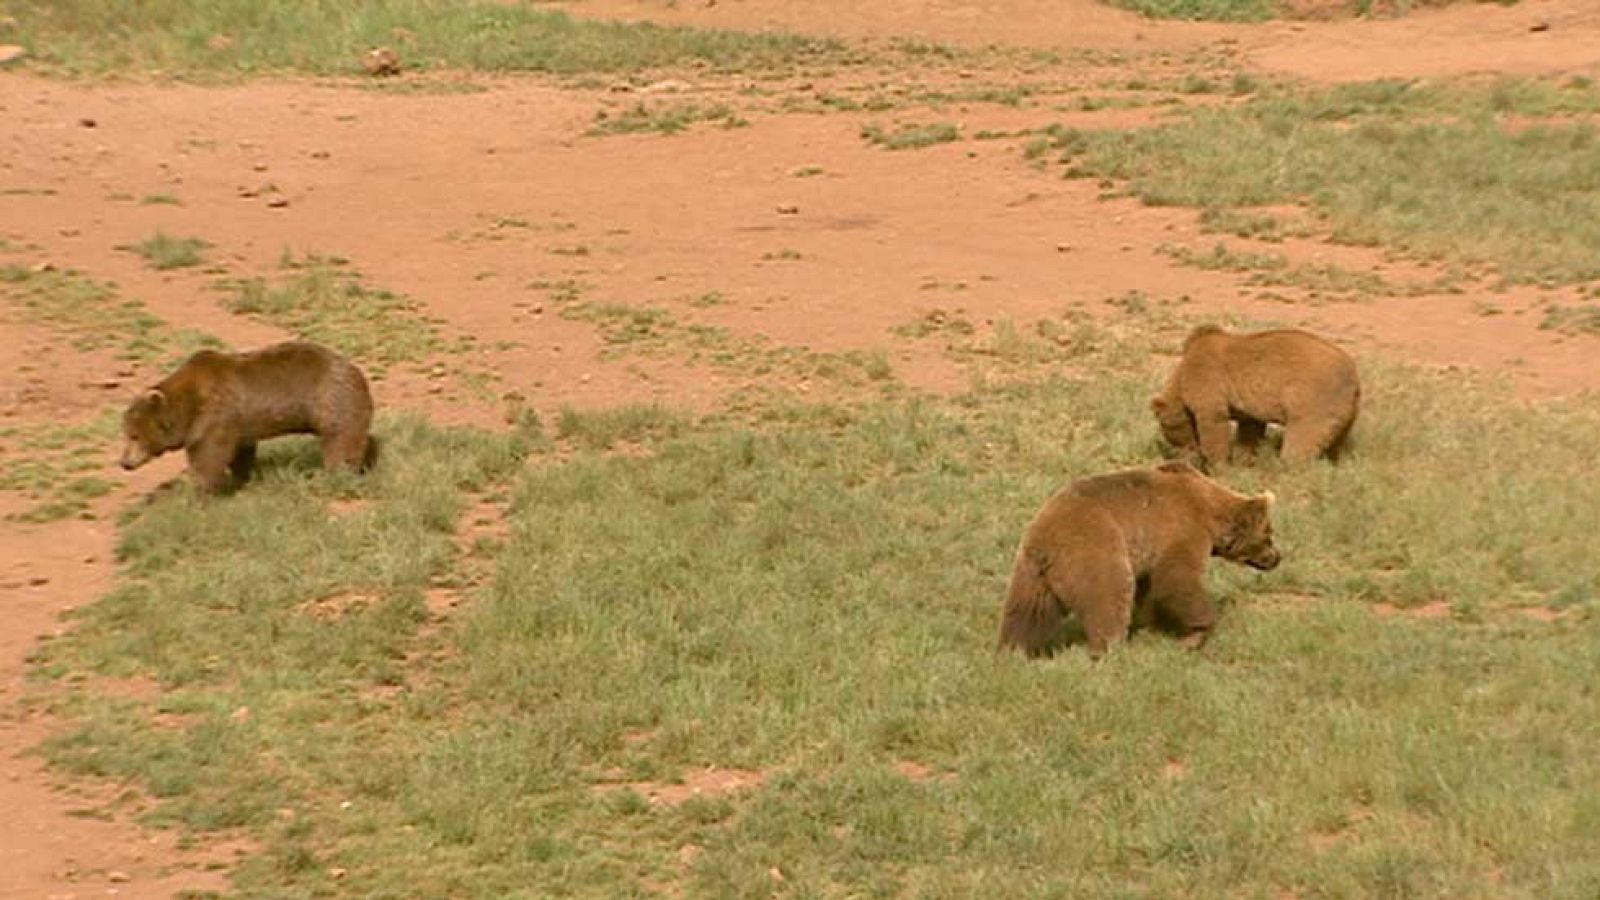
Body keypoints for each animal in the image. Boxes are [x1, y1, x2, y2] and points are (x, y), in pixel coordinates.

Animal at [119, 341, 377, 494]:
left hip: (331, 399)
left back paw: (337, 473)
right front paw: (240, 477)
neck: (189, 407)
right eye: (126, 434)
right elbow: (240, 452)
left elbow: (208, 457)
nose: (124, 463)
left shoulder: (215, 416)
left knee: (340, 441)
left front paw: (201, 490)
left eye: (134, 436)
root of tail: (358, 371)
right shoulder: (237, 423)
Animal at [998, 461, 1280, 659]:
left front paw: (1150, 625)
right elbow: (1177, 580)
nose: (1277, 557)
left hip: (1029, 572)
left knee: (1026, 612)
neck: (1211, 513)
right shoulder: (1181, 529)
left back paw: (1015, 650)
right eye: (1269, 535)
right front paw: (1197, 632)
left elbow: (1151, 589)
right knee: (1110, 595)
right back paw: (1109, 648)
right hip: (1095, 550)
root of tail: (1045, 542)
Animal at [1150, 325, 1360, 472]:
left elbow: (1214, 425)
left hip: (1312, 398)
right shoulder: (1249, 408)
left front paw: (1218, 466)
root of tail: (1354, 373)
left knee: (1300, 442)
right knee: (1339, 444)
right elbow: (1250, 431)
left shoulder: (1207, 382)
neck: (1181, 378)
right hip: (1343, 409)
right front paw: (1244, 462)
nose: (1180, 453)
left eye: (1166, 427)